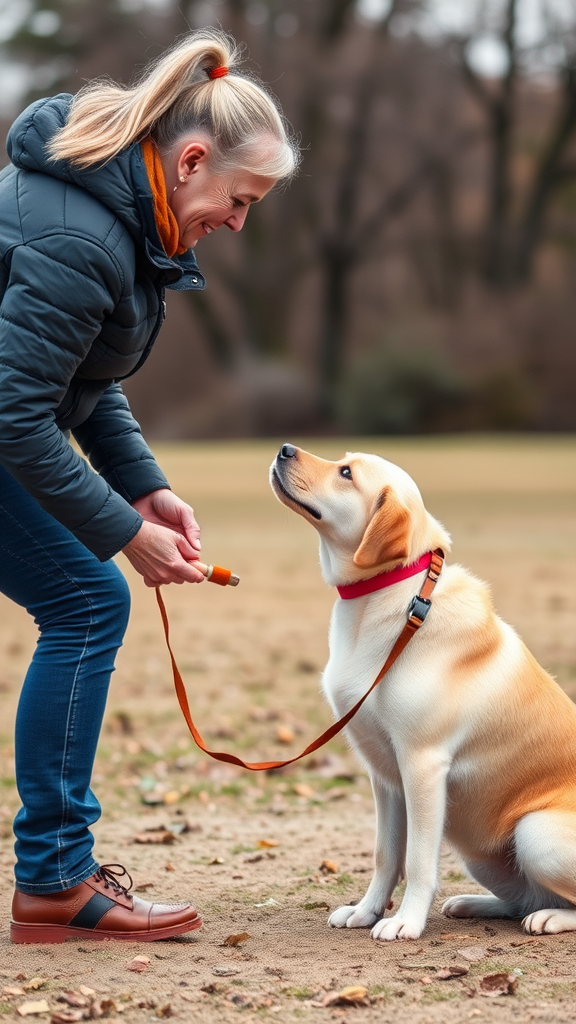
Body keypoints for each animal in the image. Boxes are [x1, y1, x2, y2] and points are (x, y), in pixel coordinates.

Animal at [270, 444, 573, 937]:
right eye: (343, 461)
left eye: (346, 473)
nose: (284, 449)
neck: (391, 598)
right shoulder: (385, 774)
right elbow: (385, 854)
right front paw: (366, 911)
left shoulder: (422, 764)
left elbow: (416, 861)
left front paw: (405, 923)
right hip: (482, 854)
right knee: (523, 899)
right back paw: (473, 904)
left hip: (535, 833)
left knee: (551, 902)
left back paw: (548, 918)